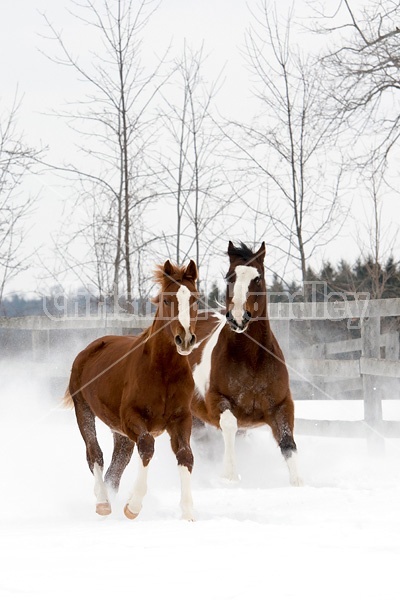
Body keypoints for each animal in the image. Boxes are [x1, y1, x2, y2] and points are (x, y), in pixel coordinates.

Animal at [64, 260, 200, 516]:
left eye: (195, 299)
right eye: (167, 300)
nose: (185, 340)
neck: (164, 372)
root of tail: (87, 351)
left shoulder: (181, 419)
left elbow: (186, 456)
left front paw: (188, 514)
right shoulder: (131, 419)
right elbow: (147, 447)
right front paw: (133, 506)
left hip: (120, 433)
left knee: (117, 466)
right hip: (84, 409)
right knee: (94, 454)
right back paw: (103, 502)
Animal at [189, 241, 302, 486]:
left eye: (257, 278)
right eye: (229, 278)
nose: (238, 317)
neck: (251, 360)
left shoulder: (281, 405)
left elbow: (287, 441)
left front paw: (298, 482)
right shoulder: (216, 401)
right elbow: (229, 425)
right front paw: (229, 475)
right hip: (193, 418)